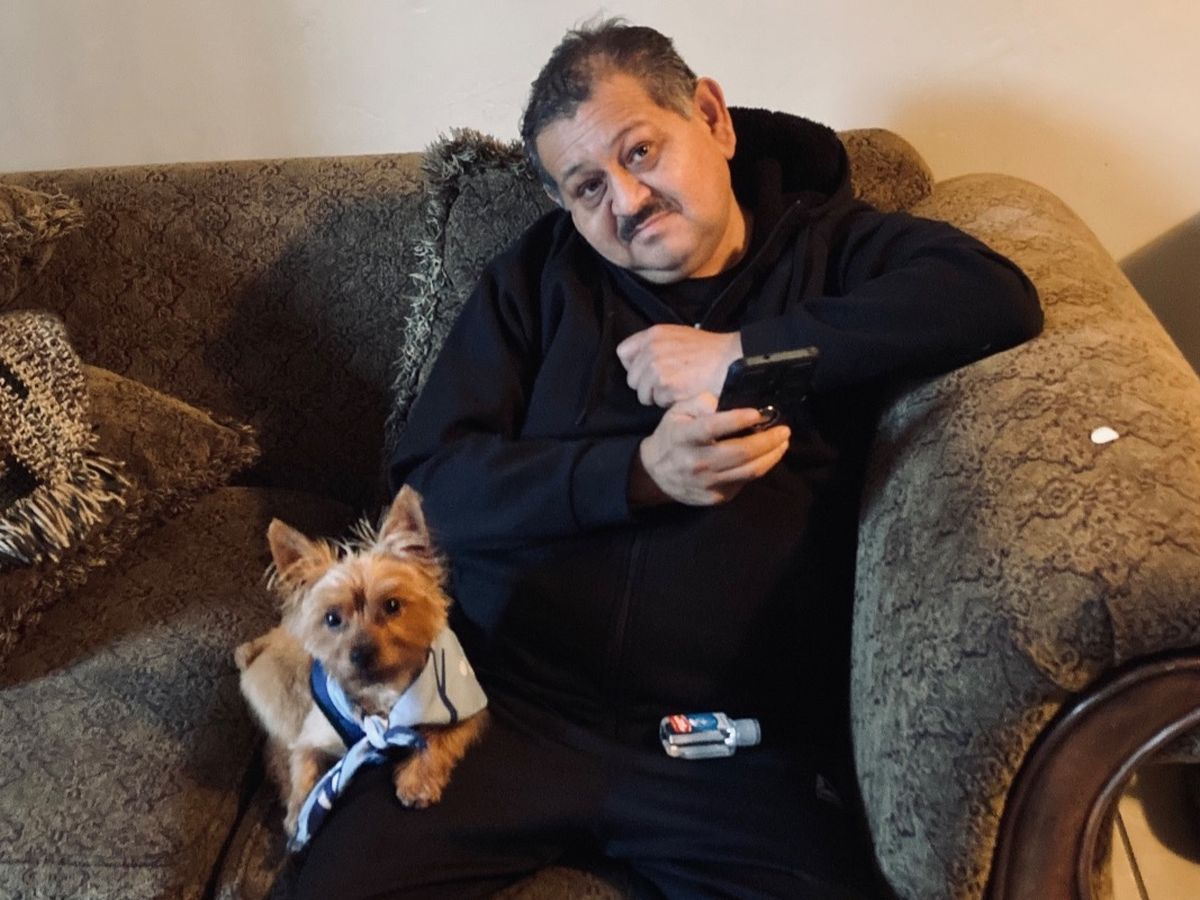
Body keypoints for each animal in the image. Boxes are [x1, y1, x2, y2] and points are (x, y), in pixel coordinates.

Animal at [235, 485, 488, 844]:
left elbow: (438, 738)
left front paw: (417, 781)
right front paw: (300, 811)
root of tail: (260, 645)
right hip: (284, 699)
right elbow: (303, 764)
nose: (360, 653)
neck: (380, 693)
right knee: (277, 750)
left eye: (392, 605)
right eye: (331, 618)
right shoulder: (313, 734)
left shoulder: (462, 705)